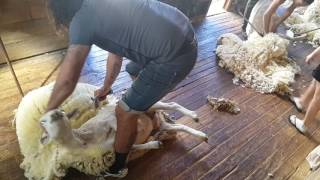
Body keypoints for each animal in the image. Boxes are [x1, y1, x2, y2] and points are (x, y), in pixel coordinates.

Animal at [14, 82, 208, 179]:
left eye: (61, 111)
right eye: (43, 121)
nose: (56, 113)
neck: (84, 142)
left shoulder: (111, 121)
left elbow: (115, 123)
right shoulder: (116, 147)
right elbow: (132, 147)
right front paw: (155, 144)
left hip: (149, 105)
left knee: (173, 104)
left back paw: (194, 116)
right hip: (160, 123)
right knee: (179, 125)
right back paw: (201, 135)